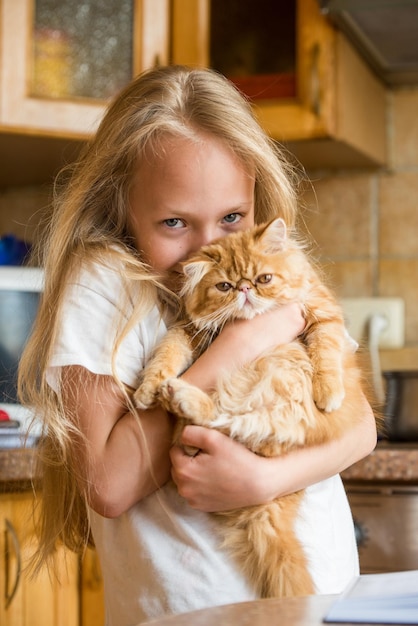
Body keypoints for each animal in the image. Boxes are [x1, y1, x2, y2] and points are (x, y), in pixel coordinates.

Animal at [134, 217, 366, 596]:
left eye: (264, 279)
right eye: (225, 286)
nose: (245, 289)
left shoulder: (322, 316)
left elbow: (327, 353)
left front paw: (329, 393)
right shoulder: (187, 332)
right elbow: (165, 355)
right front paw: (145, 391)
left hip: (286, 379)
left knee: (231, 422)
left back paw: (180, 398)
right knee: (222, 421)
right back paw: (174, 395)